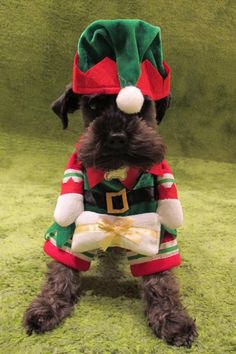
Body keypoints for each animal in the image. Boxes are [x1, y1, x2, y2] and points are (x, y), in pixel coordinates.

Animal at [23, 86, 197, 348]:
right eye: (94, 105)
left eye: (141, 105)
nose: (116, 137)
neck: (117, 174)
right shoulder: (72, 221)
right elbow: (61, 268)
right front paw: (47, 306)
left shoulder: (156, 226)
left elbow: (161, 279)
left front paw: (172, 317)